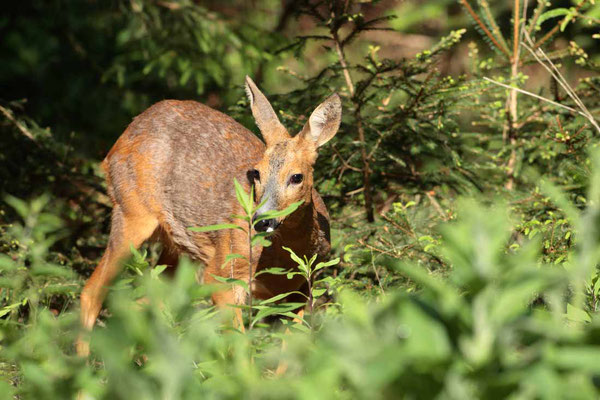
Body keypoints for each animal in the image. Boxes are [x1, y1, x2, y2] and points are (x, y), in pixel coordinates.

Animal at [78, 78, 342, 356]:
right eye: (257, 173)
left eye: (297, 177)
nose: (262, 220)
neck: (283, 258)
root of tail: (116, 145)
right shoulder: (221, 274)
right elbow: (239, 345)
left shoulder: (302, 290)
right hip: (131, 212)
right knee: (92, 292)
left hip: (177, 248)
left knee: (141, 305)